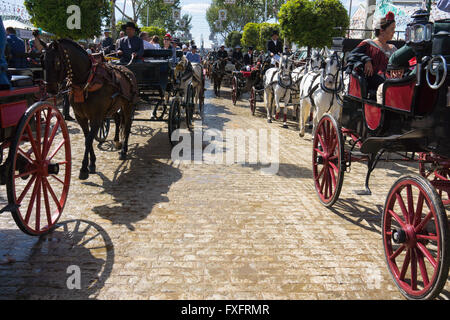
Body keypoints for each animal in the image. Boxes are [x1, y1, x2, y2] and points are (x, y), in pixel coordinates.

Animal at [43, 38, 137, 180]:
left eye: (57, 62)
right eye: (42, 60)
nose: (50, 89)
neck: (86, 81)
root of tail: (127, 70)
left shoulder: (96, 118)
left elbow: (88, 141)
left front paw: (83, 169)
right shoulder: (80, 117)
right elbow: (88, 138)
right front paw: (92, 163)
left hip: (128, 105)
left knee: (126, 126)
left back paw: (124, 150)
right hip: (113, 107)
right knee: (117, 119)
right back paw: (116, 141)